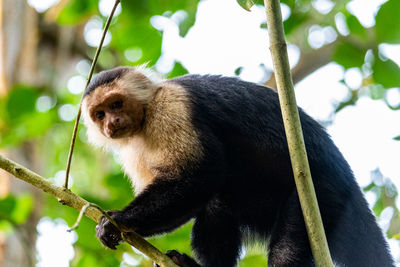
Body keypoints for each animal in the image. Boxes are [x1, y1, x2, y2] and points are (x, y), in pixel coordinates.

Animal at [81, 66, 394, 266]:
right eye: (100, 114)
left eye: (116, 104)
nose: (111, 123)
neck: (145, 118)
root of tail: (347, 177)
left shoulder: (172, 109)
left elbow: (203, 174)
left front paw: (121, 219)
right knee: (218, 207)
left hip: (322, 193)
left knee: (288, 245)